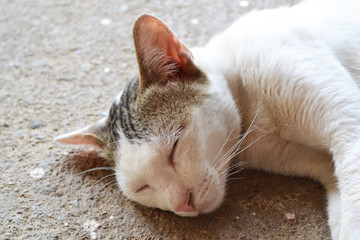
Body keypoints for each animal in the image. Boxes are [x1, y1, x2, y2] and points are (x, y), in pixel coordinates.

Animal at [55, 0, 360, 239]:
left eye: (174, 148)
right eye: (142, 187)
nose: (183, 204)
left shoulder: (348, 126)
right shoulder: (316, 164)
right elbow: (343, 213)